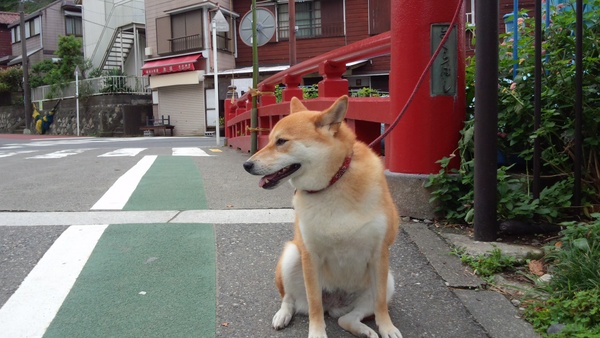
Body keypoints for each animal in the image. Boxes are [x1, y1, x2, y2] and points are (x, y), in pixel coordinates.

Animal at [244, 95, 404, 338]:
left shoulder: (379, 253)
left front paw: (387, 327)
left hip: (389, 281)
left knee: (348, 318)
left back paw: (364, 330)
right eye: (270, 140)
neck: (332, 184)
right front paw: (317, 333)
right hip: (292, 255)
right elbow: (314, 304)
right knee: (290, 300)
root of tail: (334, 305)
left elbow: (380, 304)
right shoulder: (311, 255)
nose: (247, 164)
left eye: (281, 141)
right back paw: (283, 315)